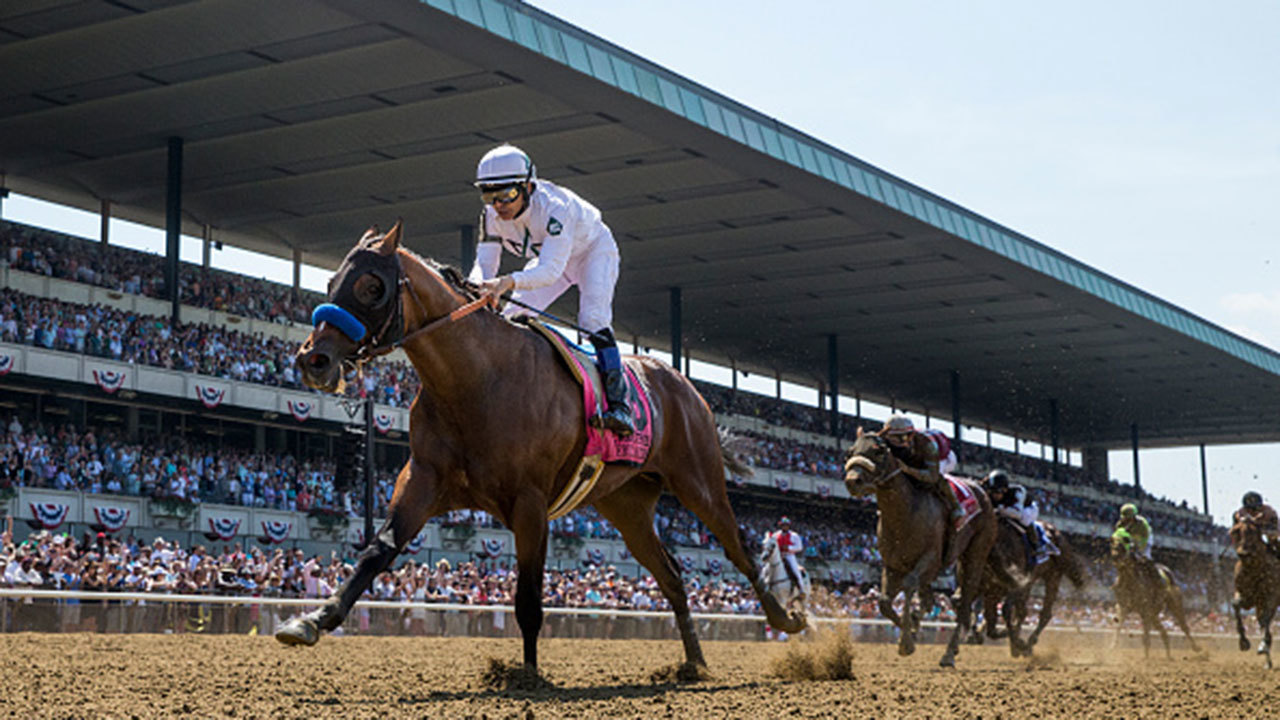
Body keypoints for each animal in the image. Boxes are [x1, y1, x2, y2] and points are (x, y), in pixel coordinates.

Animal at [276, 221, 803, 671]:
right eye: (330, 283)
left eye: (372, 286)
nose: (313, 360)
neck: (475, 379)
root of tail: (684, 384)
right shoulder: (423, 479)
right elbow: (377, 551)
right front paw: (310, 621)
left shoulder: (530, 502)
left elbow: (528, 598)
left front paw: (528, 677)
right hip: (627, 505)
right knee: (672, 574)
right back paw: (694, 662)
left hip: (699, 482)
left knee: (739, 548)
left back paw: (785, 617)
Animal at [839, 425, 1008, 666]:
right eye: (850, 452)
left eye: (878, 451)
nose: (853, 480)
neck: (905, 513)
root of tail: (983, 492)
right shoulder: (892, 565)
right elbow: (884, 602)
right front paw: (912, 628)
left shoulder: (929, 559)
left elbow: (910, 584)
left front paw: (906, 642)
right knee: (937, 599)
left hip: (975, 555)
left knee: (965, 600)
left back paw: (949, 652)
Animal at [972, 517, 1085, 653]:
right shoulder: (992, 587)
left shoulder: (1014, 584)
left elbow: (1006, 610)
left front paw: (1017, 643)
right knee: (1023, 611)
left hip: (1053, 576)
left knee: (1045, 614)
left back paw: (1028, 643)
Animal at [1111, 527, 1198, 655]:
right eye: (1112, 542)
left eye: (1124, 541)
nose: (1115, 556)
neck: (1130, 579)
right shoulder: (1124, 606)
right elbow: (1118, 627)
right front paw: (1112, 647)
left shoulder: (1145, 609)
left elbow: (1146, 637)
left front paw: (1146, 658)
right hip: (1154, 613)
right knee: (1164, 632)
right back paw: (1169, 656)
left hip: (1175, 604)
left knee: (1184, 626)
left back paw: (1198, 649)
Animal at [1228, 515, 1280, 666]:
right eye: (1235, 531)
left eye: (1253, 531)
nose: (1243, 553)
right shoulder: (1247, 597)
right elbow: (1235, 605)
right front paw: (1244, 642)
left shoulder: (1271, 596)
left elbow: (1265, 618)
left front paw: (1263, 645)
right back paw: (1268, 661)